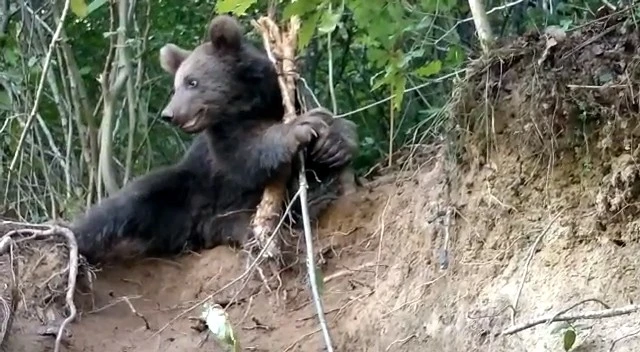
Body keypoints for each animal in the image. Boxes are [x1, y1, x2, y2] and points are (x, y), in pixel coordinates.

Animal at [72, 15, 360, 266]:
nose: (170, 114)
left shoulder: (286, 97)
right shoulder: (222, 139)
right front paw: (300, 128)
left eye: (192, 82)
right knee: (125, 204)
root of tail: (198, 228)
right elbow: (247, 153)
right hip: (185, 190)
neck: (250, 103)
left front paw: (333, 144)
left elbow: (332, 128)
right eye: (176, 85)